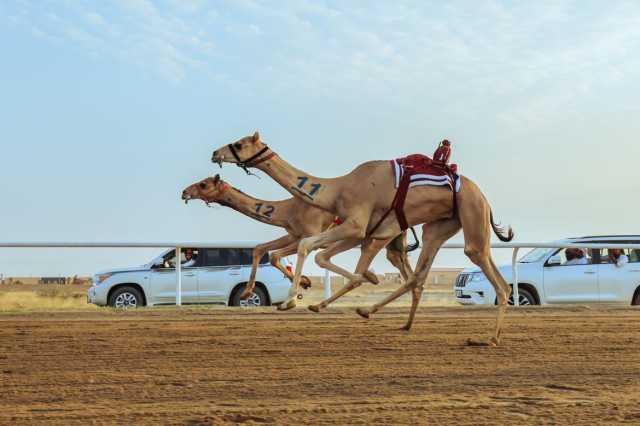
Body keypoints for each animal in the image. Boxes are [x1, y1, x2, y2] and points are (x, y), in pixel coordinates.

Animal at [179, 175, 416, 308]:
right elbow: (264, 251)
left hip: (383, 236)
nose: (184, 192)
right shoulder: (293, 234)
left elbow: (278, 254)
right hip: (394, 239)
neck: (288, 209)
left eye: (204, 184)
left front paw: (298, 289)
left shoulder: (307, 234)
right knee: (401, 262)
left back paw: (370, 279)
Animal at [214, 131, 516, 344]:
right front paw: (310, 298)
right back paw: (386, 317)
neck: (338, 189)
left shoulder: (356, 227)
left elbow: (307, 247)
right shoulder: (363, 232)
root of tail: (483, 196)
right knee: (418, 275)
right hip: (438, 226)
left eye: (239, 143)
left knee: (495, 279)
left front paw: (290, 301)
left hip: (472, 213)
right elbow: (321, 256)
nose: (216, 153)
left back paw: (491, 338)